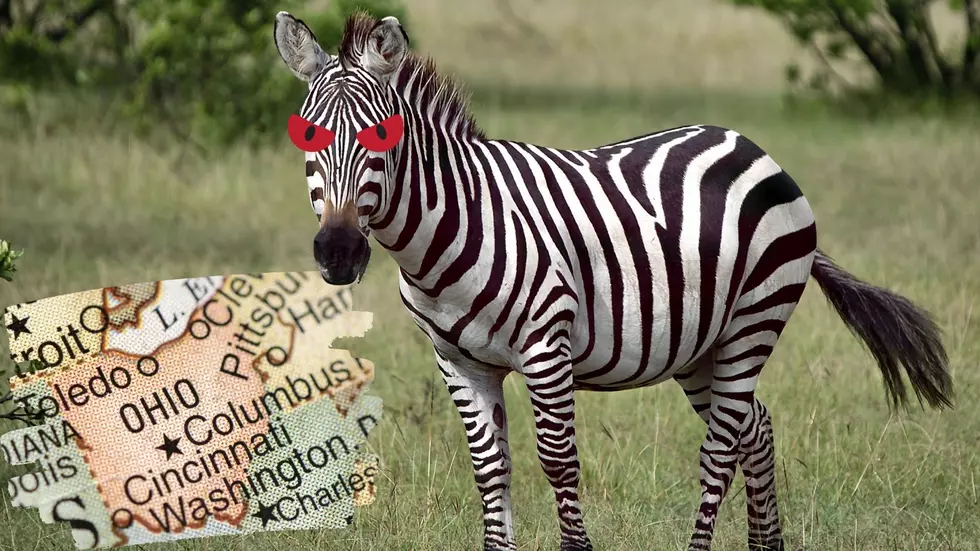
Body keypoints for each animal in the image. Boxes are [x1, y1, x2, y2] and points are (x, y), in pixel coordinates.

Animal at [273, 11, 954, 551]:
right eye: (307, 138)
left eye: (379, 140)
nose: (337, 253)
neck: (453, 227)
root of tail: (752, 146)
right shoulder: (458, 361)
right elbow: (491, 470)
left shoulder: (546, 348)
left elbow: (558, 464)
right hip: (700, 345)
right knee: (753, 429)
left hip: (754, 321)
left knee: (719, 451)